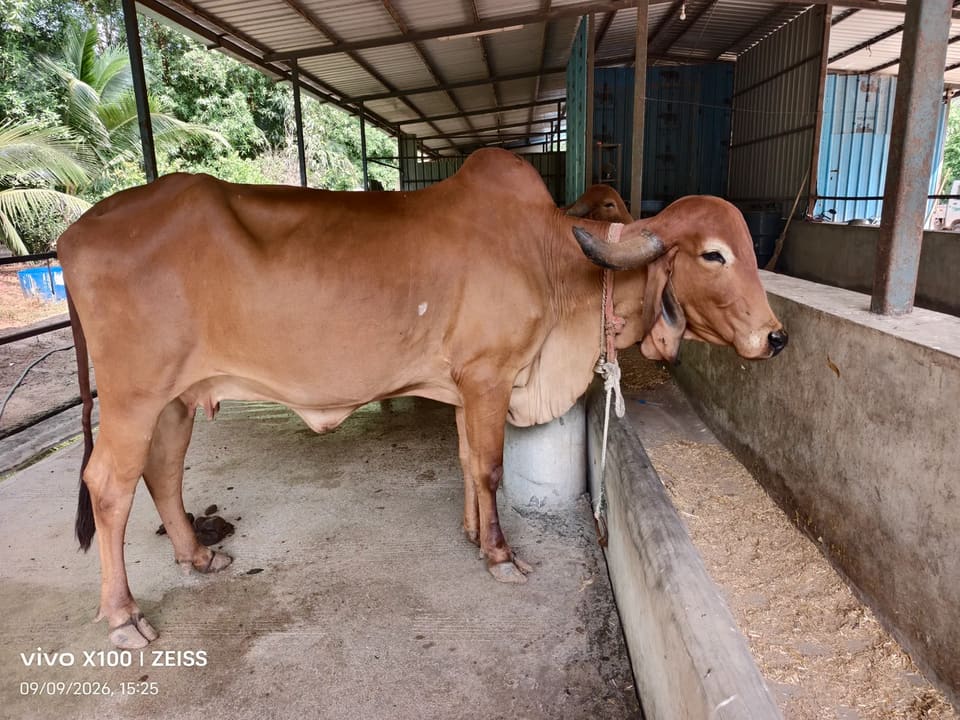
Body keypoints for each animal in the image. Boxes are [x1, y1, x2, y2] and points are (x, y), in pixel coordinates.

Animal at [58, 148, 787, 649]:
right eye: (715, 255)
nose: (775, 336)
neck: (551, 260)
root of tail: (75, 233)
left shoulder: (466, 385)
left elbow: (466, 462)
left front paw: (471, 532)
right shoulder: (489, 376)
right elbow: (488, 467)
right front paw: (500, 555)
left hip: (177, 399)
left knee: (163, 471)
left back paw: (197, 555)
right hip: (133, 396)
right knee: (109, 486)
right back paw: (123, 617)